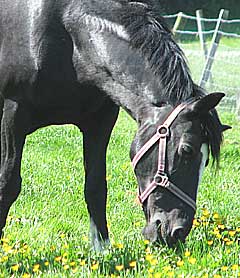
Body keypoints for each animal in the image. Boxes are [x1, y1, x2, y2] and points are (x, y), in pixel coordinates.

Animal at [0, 0, 229, 248]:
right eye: (187, 150)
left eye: (205, 162)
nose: (176, 232)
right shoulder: (14, 115)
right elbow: (9, 184)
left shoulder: (100, 122)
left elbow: (96, 186)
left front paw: (101, 247)